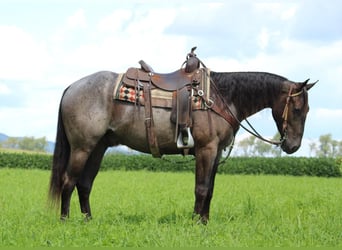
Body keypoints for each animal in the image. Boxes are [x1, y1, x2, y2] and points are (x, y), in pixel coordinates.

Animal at [48, 63, 316, 224]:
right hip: (82, 148)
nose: (293, 146)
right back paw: (65, 221)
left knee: (84, 184)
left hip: (98, 147)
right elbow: (201, 188)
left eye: (307, 110)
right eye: (297, 108)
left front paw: (205, 221)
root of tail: (72, 87)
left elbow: (210, 189)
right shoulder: (206, 149)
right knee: (68, 181)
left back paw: (88, 220)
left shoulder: (216, 152)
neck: (220, 97)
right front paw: (196, 222)